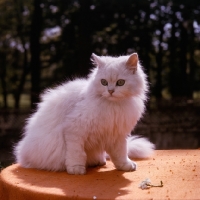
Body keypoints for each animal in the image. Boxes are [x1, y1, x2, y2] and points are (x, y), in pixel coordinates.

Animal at [14, 53, 155, 175]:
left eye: (120, 82)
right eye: (103, 82)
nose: (110, 91)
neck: (113, 106)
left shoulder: (117, 134)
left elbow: (120, 153)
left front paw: (125, 166)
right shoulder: (74, 130)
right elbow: (77, 153)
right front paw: (76, 169)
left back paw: (99, 161)